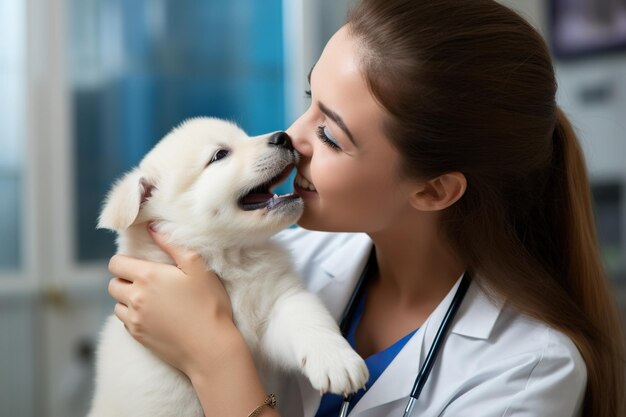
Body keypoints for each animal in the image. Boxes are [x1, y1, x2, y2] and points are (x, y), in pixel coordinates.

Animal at [89, 117, 370, 416]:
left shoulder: (277, 301)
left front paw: (337, 361)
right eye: (219, 155)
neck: (228, 259)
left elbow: (307, 317)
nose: (284, 138)